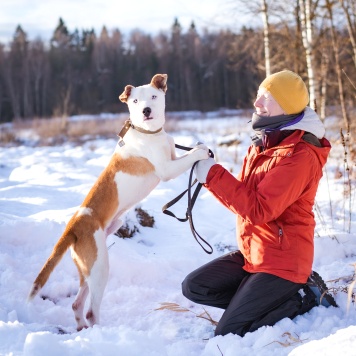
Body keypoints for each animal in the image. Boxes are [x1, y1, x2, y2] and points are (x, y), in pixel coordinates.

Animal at [27, 74, 209, 330]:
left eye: (154, 96)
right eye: (135, 101)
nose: (145, 110)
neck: (149, 133)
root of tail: (72, 228)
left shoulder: (172, 155)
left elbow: (184, 152)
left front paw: (199, 147)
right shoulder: (167, 169)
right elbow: (190, 157)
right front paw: (202, 152)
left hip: (90, 267)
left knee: (77, 304)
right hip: (100, 267)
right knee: (91, 310)